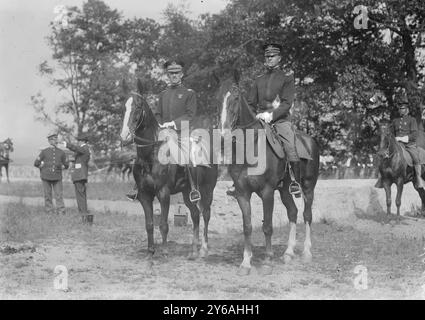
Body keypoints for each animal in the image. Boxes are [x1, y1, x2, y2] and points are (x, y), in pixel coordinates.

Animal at [119, 80, 219, 260]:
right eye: (124, 107)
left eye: (138, 106)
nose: (125, 137)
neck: (151, 154)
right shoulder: (144, 195)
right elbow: (149, 224)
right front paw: (151, 250)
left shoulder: (163, 193)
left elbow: (163, 224)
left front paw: (164, 251)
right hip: (187, 193)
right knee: (195, 215)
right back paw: (193, 251)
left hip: (207, 190)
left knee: (206, 214)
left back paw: (203, 250)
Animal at [217, 72, 320, 276]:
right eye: (219, 100)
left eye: (235, 99)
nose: (223, 137)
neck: (251, 148)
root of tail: (310, 140)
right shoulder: (242, 193)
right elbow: (247, 227)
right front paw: (245, 263)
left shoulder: (267, 192)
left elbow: (267, 226)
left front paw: (267, 260)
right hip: (285, 190)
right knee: (293, 212)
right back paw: (288, 253)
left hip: (308, 187)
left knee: (307, 215)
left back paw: (306, 253)